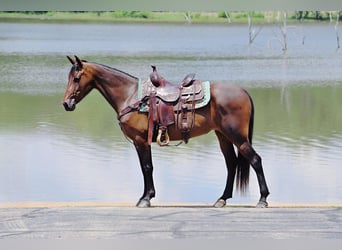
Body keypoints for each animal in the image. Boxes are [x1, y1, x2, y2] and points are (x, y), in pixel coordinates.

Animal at [61, 55, 270, 208]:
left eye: (77, 78)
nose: (66, 104)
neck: (130, 96)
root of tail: (244, 92)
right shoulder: (140, 142)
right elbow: (146, 167)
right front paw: (146, 196)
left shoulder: (140, 140)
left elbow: (146, 167)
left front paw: (146, 199)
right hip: (223, 136)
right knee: (231, 164)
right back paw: (222, 199)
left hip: (237, 136)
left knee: (255, 160)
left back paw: (263, 199)